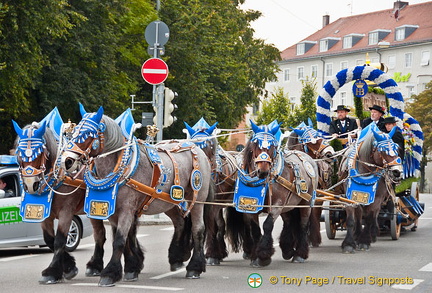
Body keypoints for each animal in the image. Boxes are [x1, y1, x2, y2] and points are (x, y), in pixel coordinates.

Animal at [12, 108, 107, 284]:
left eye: (40, 153)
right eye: (19, 153)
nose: (30, 184)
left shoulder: (66, 212)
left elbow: (60, 240)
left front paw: (52, 272)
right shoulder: (45, 215)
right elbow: (49, 239)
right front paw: (69, 267)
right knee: (99, 234)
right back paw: (95, 265)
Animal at [340, 122, 404, 252]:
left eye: (396, 148)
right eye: (382, 150)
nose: (397, 172)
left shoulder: (377, 198)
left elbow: (369, 218)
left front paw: (364, 241)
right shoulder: (350, 196)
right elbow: (351, 220)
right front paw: (349, 243)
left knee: (375, 214)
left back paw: (372, 234)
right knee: (359, 214)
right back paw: (357, 234)